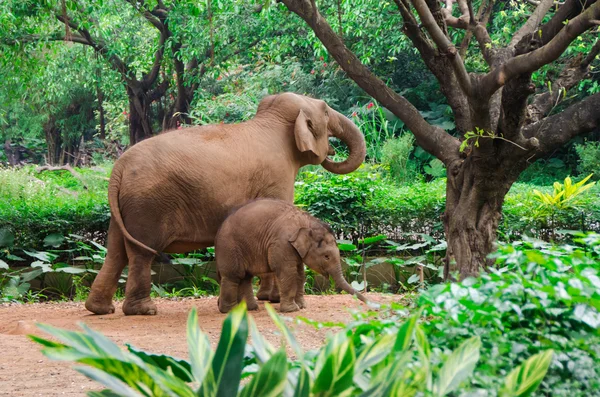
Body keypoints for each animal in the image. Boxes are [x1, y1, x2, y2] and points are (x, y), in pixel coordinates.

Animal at [213, 198, 368, 312]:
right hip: (230, 248)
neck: (306, 222)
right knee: (233, 276)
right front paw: (292, 310)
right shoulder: (282, 244)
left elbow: (300, 273)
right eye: (326, 257)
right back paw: (229, 311)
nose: (369, 303)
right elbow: (288, 271)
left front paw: (302, 306)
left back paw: (250, 309)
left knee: (245, 277)